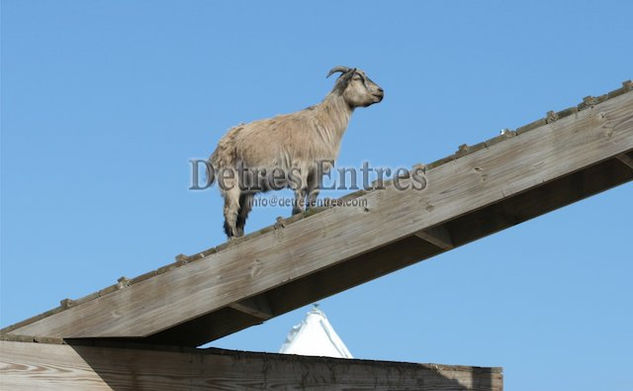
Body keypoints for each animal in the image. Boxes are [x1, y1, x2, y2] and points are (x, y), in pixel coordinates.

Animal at [210, 66, 382, 239]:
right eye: (357, 78)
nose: (381, 92)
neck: (323, 122)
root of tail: (221, 144)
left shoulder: (318, 170)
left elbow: (312, 195)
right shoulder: (300, 166)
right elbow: (300, 194)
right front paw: (297, 214)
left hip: (248, 187)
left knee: (241, 216)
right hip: (230, 179)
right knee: (230, 211)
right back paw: (233, 237)